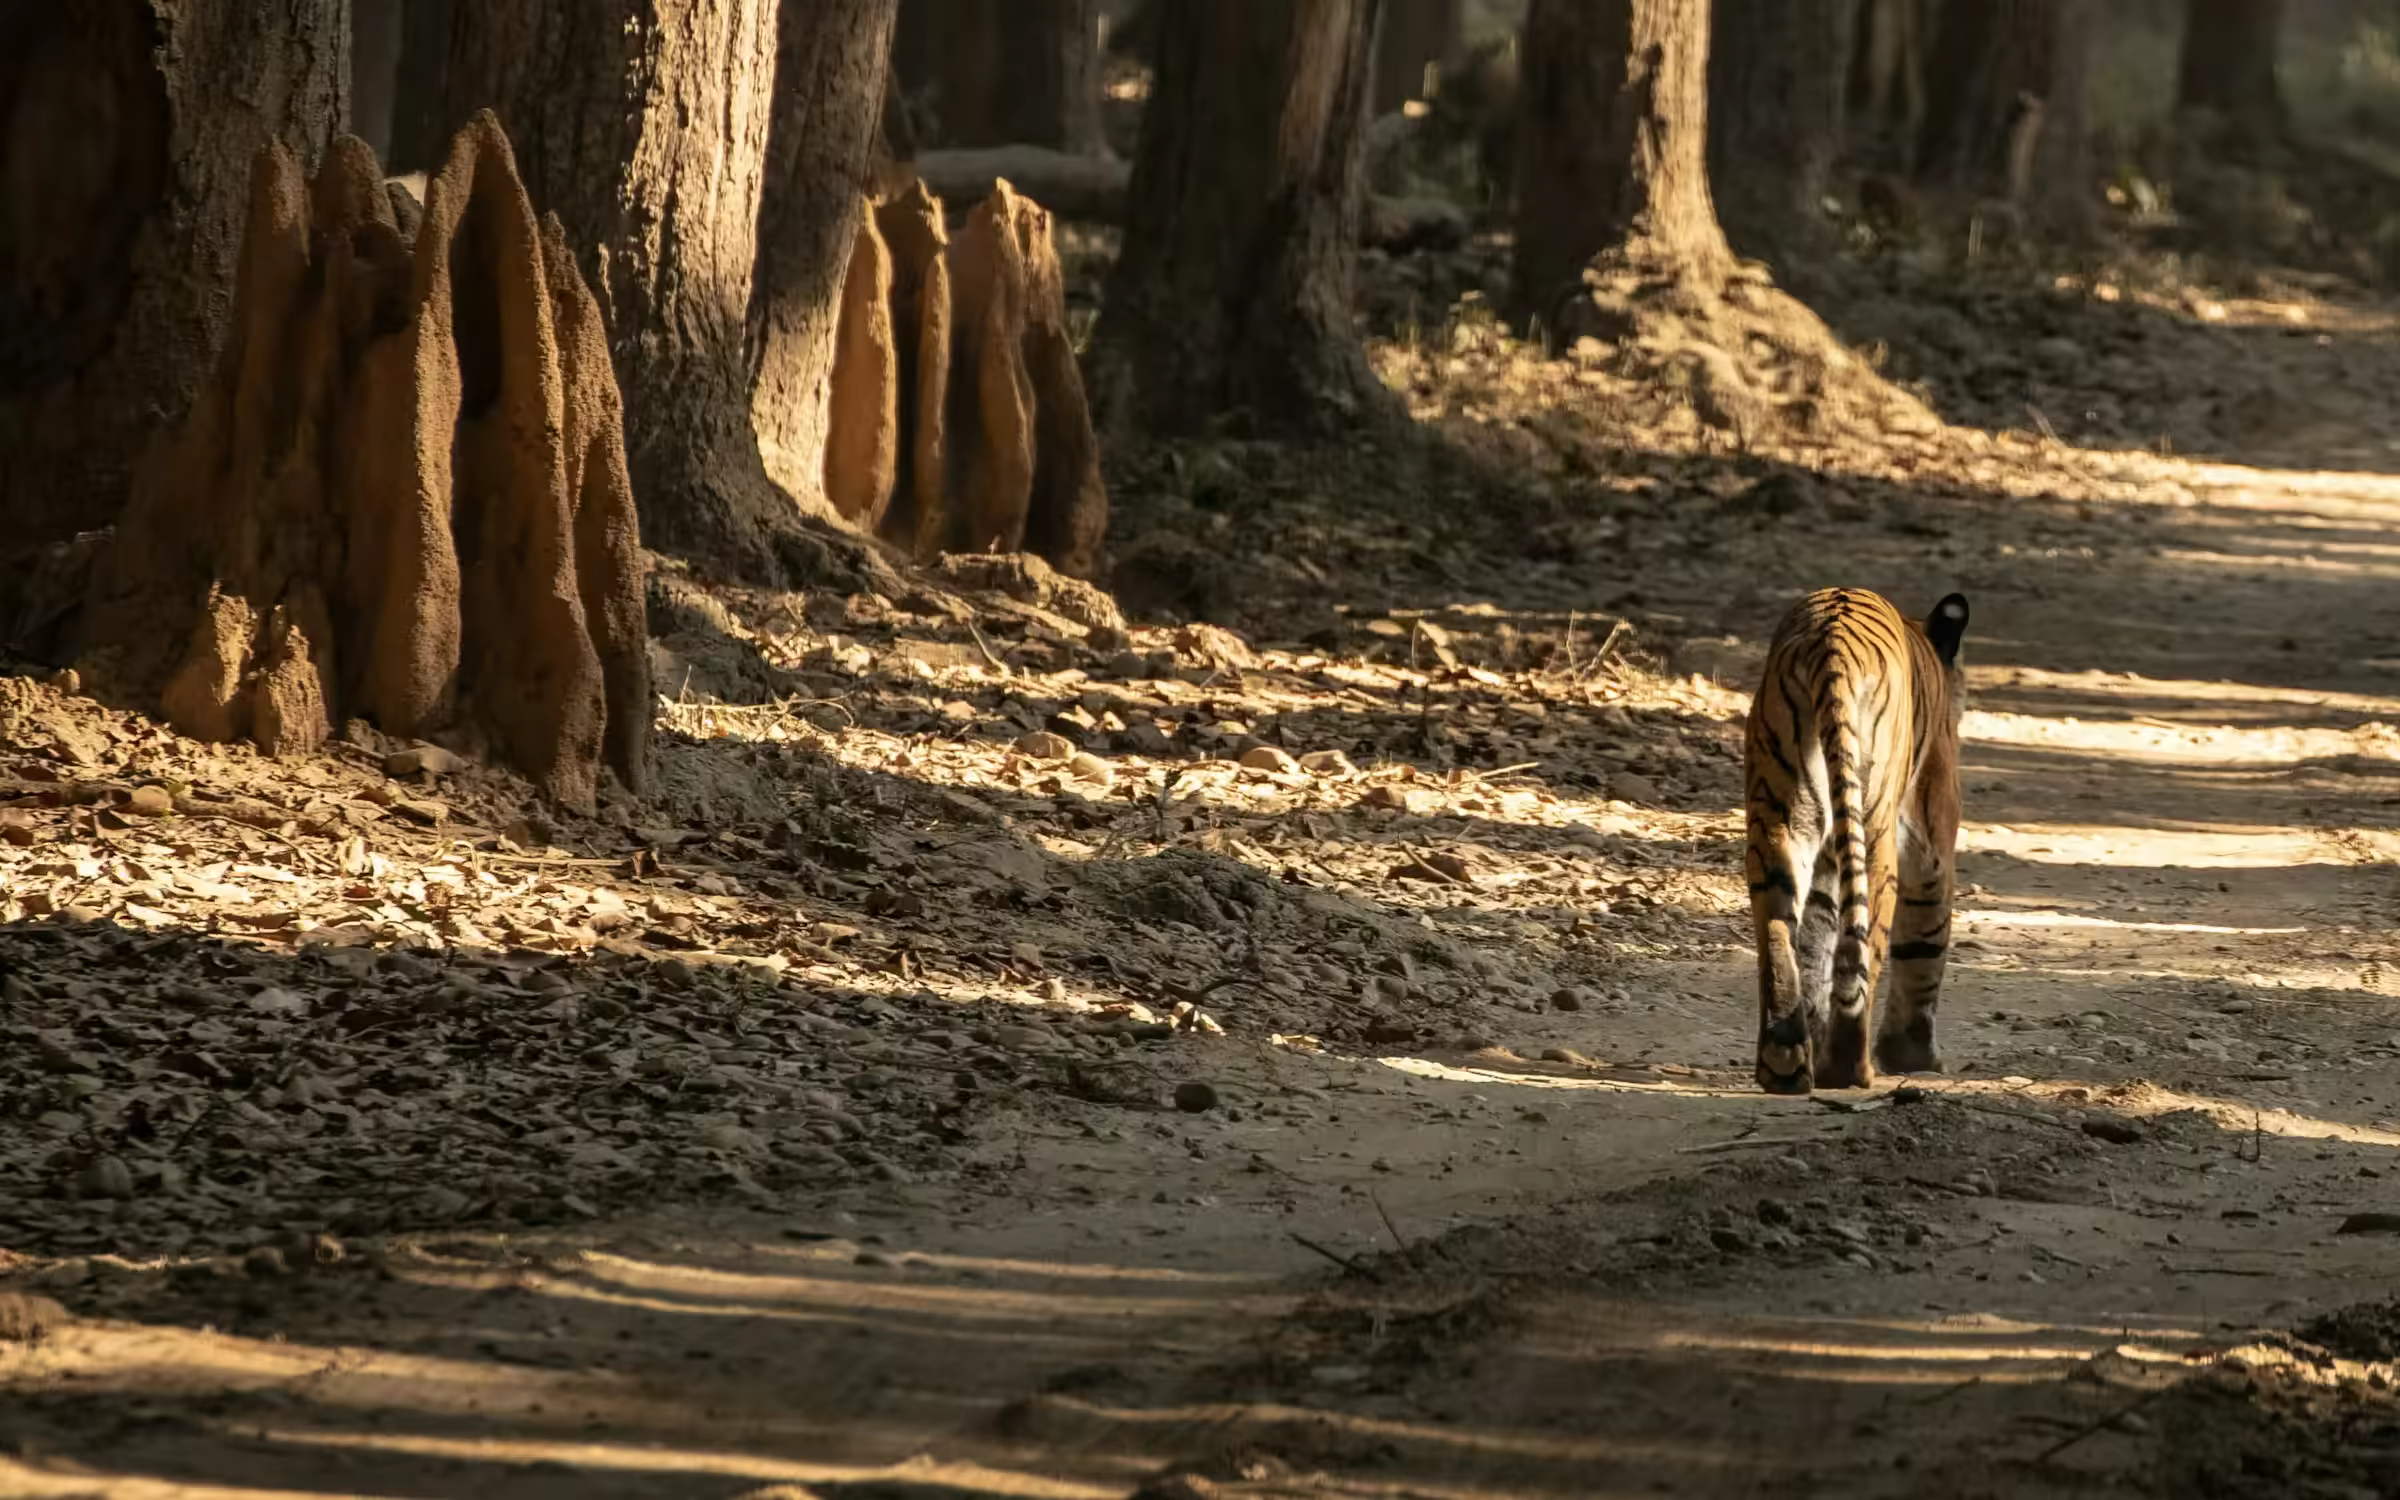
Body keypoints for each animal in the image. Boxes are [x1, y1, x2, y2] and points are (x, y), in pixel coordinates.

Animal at [1742, 588, 1970, 1094]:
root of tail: (1831, 641)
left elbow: (1814, 939)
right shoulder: (1932, 839)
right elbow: (1925, 941)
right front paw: (1913, 1055)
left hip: (1780, 816)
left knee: (1779, 928)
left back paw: (1784, 1061)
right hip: (1875, 828)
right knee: (1861, 943)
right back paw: (1848, 1067)